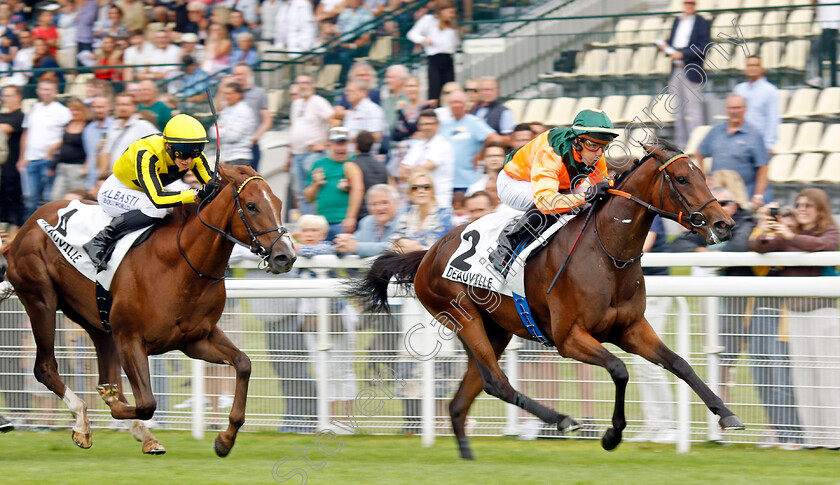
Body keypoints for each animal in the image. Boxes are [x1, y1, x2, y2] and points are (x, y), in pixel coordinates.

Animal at [0, 164, 296, 456]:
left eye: (279, 202)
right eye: (252, 205)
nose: (286, 256)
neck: (180, 264)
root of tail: (24, 227)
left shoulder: (196, 339)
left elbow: (243, 363)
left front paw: (225, 439)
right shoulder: (130, 339)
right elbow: (146, 403)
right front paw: (111, 408)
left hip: (96, 321)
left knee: (104, 369)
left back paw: (139, 433)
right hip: (41, 300)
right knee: (45, 368)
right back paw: (82, 423)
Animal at [352, 139, 744, 458]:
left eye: (703, 175)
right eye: (681, 179)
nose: (724, 224)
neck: (608, 253)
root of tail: (427, 253)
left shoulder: (631, 328)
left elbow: (680, 363)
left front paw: (726, 414)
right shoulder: (569, 338)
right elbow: (619, 370)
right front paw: (611, 435)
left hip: (496, 330)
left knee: (465, 397)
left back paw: (469, 456)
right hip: (462, 316)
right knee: (496, 382)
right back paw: (561, 419)